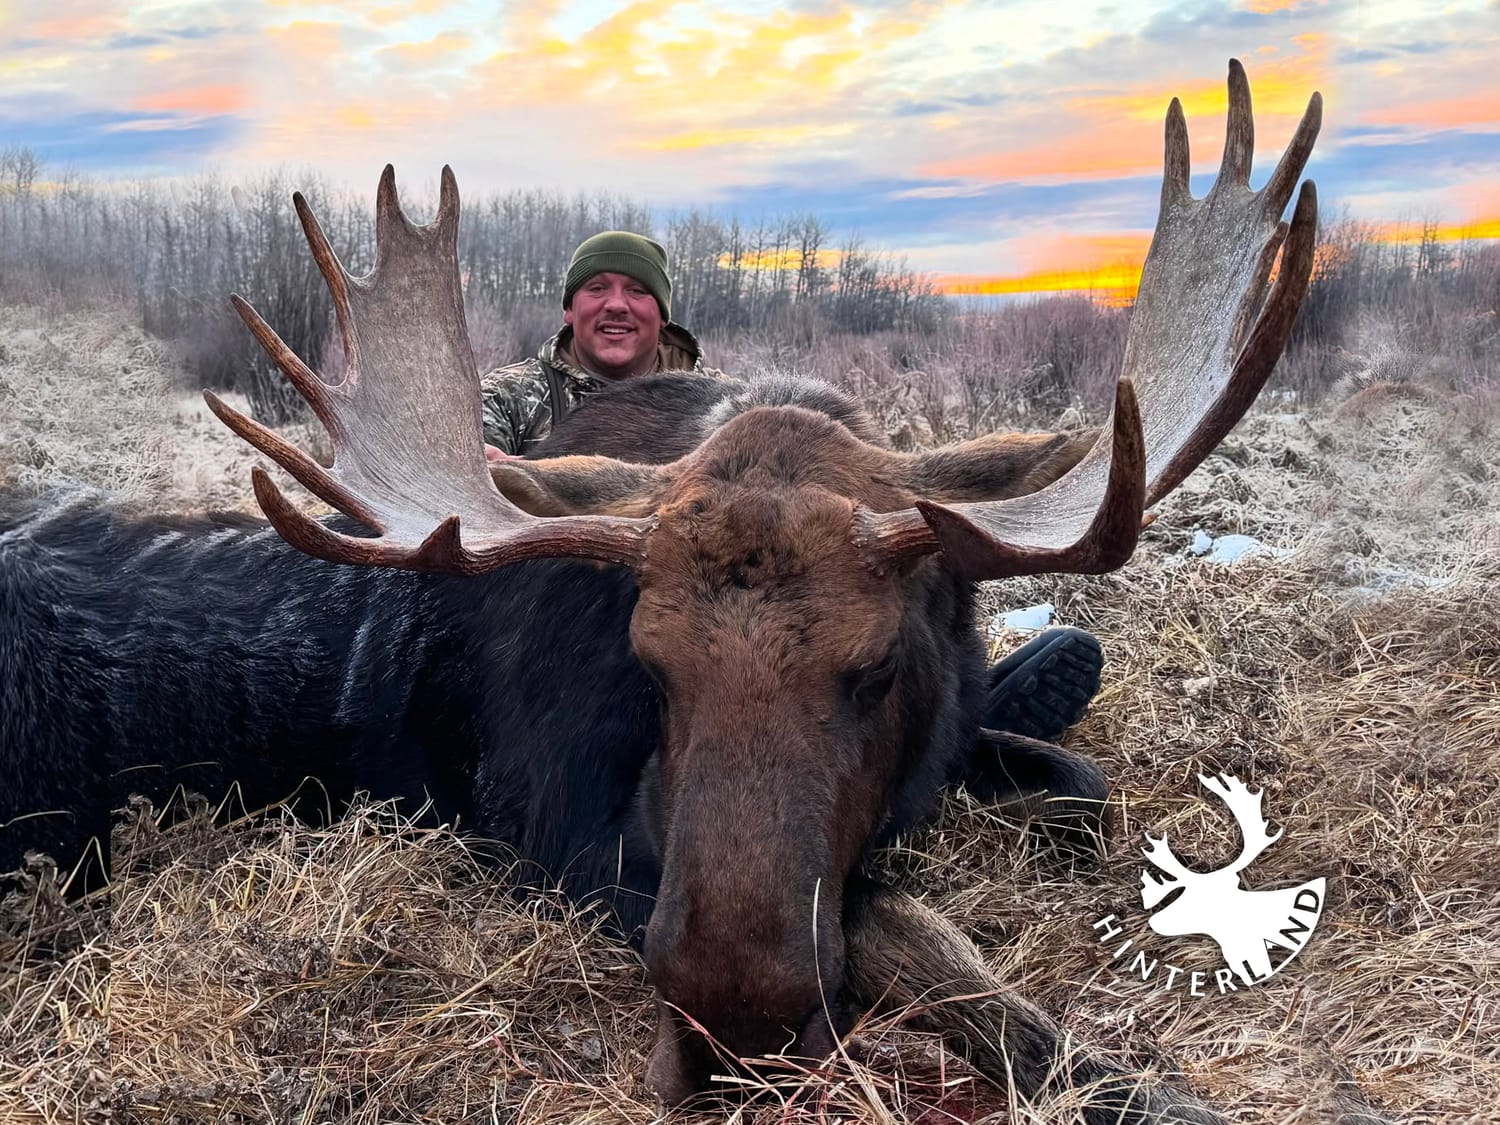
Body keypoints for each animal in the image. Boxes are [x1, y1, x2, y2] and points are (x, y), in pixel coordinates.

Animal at [0, 61, 1320, 1123]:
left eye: (878, 664)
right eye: (651, 662)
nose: (730, 1022)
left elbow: (1073, 790)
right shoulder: (565, 843)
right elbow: (895, 927)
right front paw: (1121, 1081)